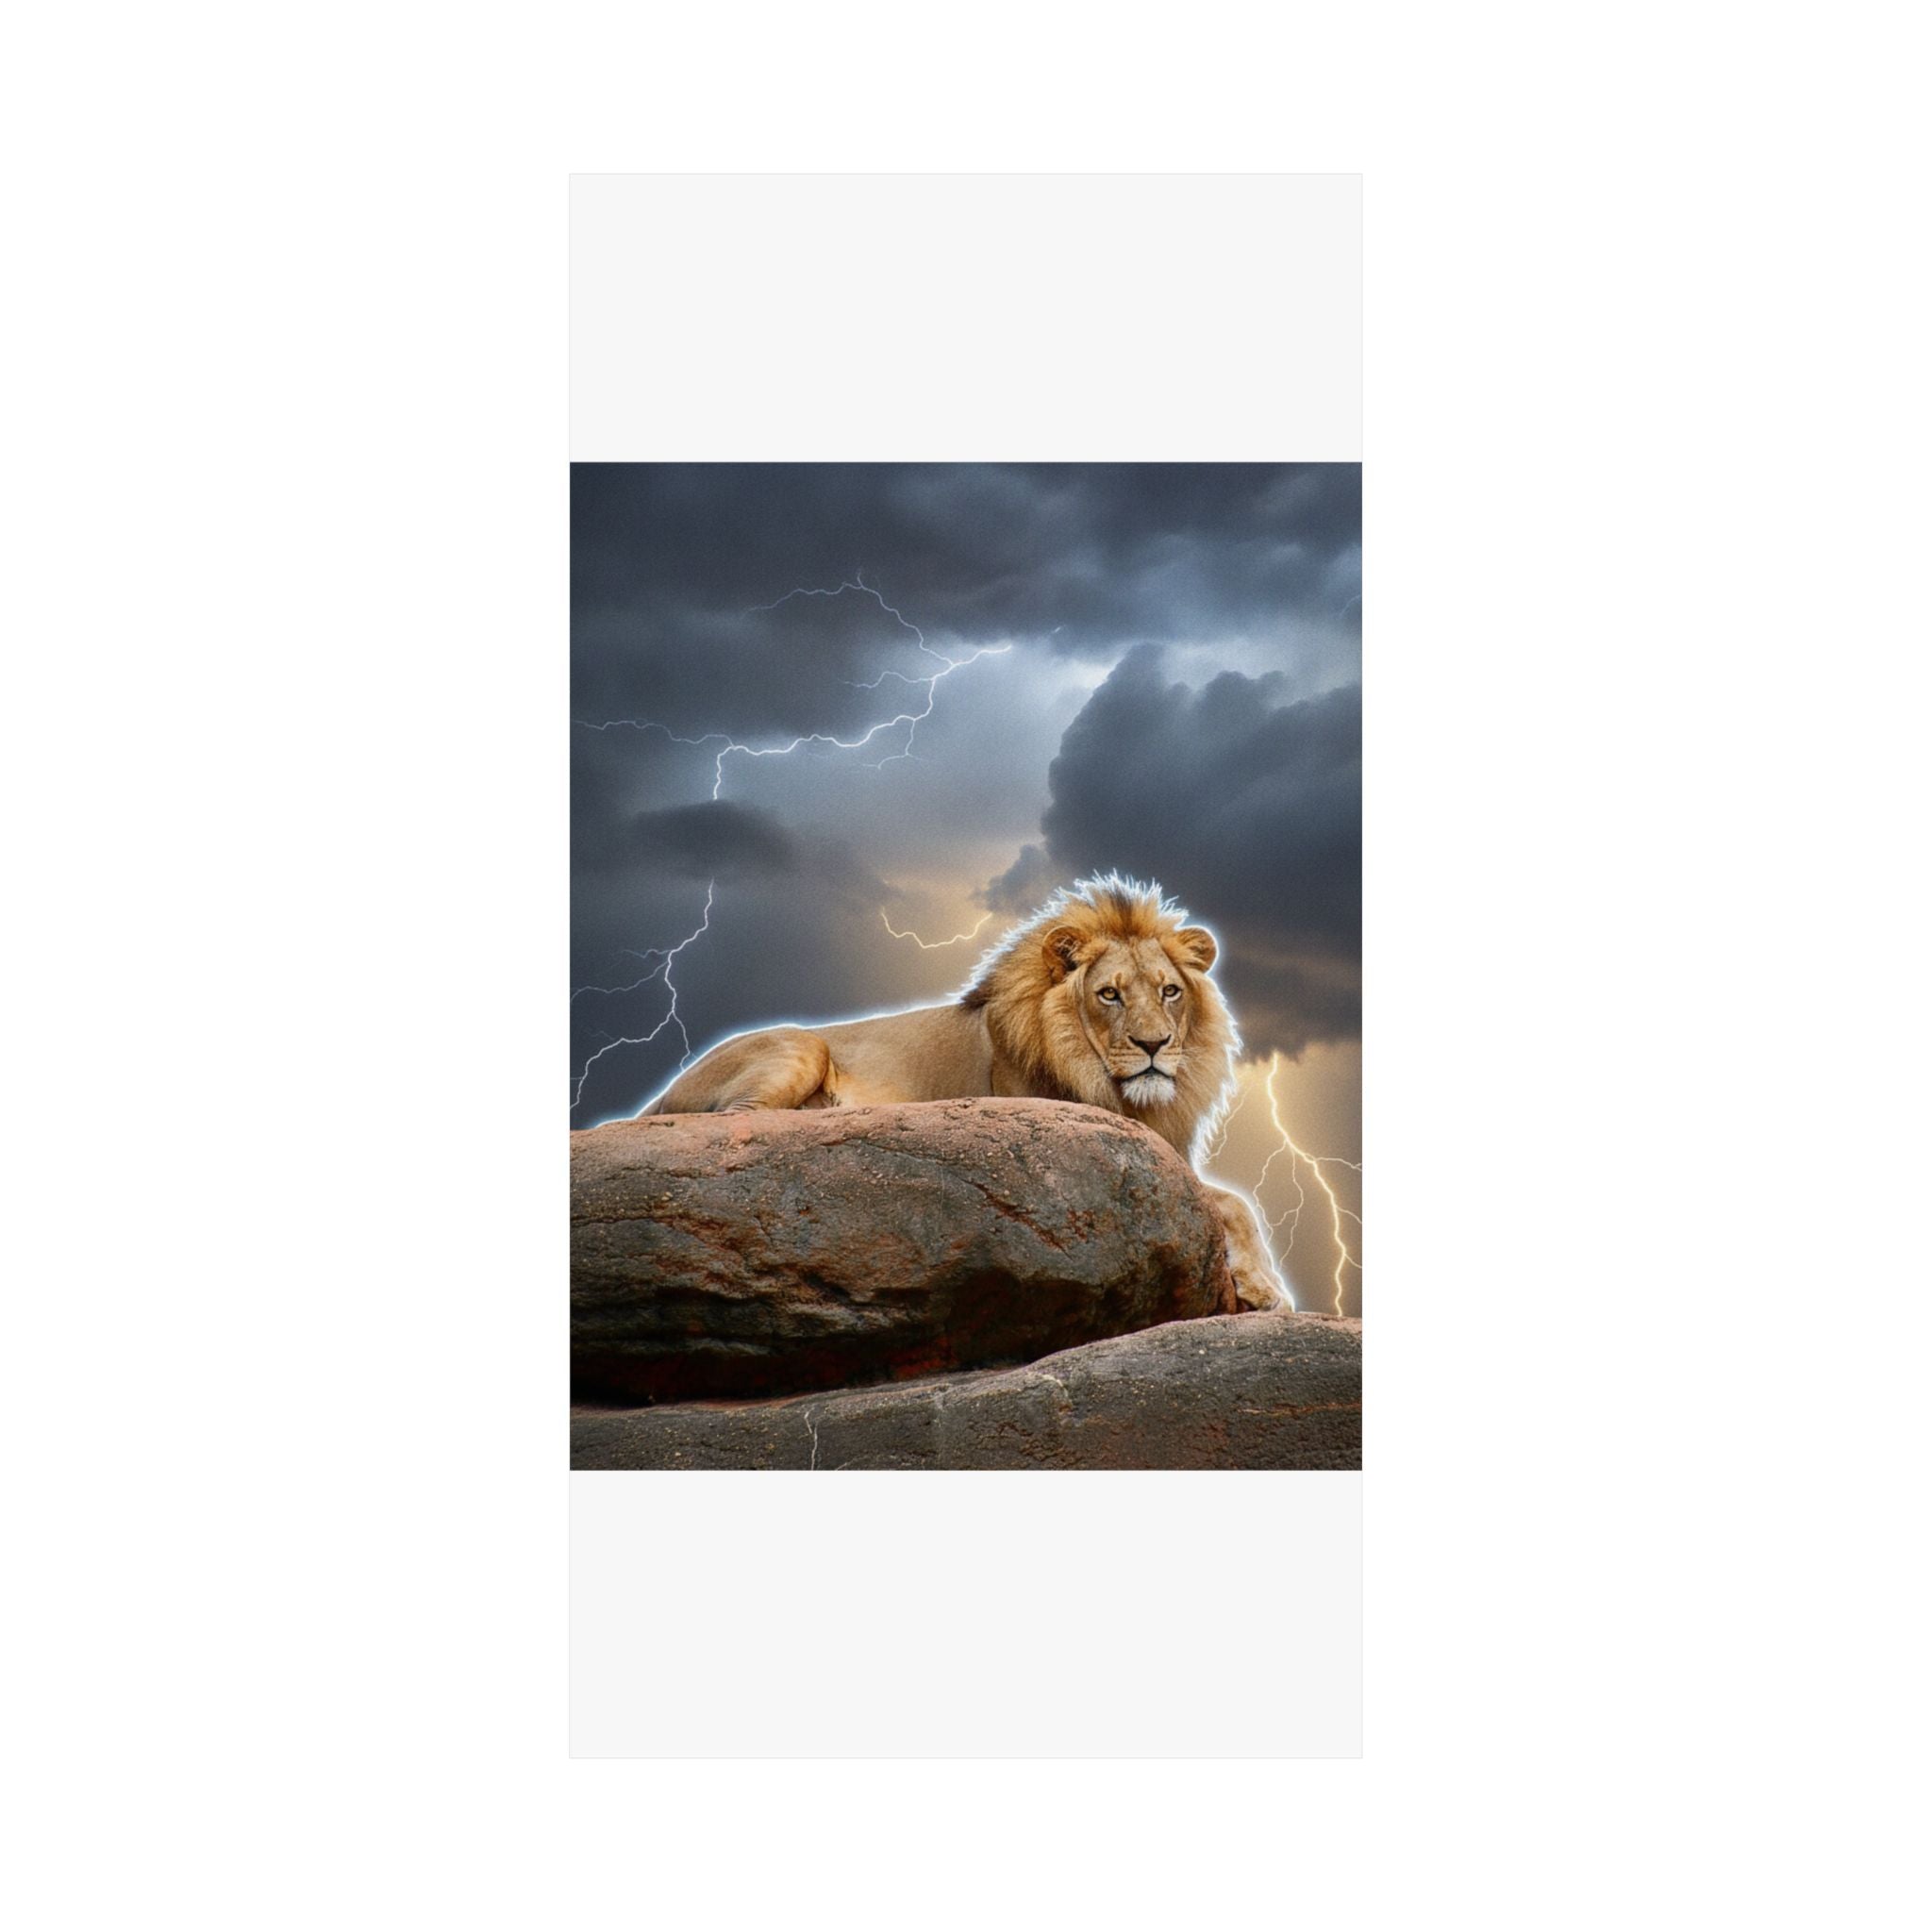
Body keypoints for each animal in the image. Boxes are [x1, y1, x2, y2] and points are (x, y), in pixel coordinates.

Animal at [642, 874, 1287, 1311]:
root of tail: (664, 1089)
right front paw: (1265, 1287)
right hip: (801, 1048)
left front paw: (1261, 1285)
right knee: (739, 1121)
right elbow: (1230, 1200)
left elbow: (1238, 1202)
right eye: (1110, 994)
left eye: (1170, 991)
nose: (1154, 1045)